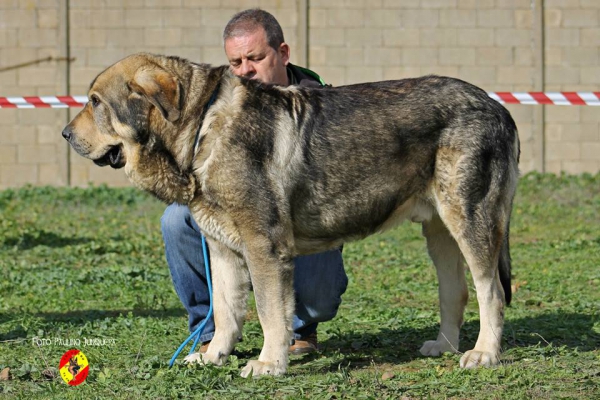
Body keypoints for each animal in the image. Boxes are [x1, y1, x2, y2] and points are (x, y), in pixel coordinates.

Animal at [63, 53, 516, 378]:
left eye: (96, 103)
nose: (65, 134)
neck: (201, 128)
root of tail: (497, 106)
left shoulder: (264, 247)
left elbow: (268, 311)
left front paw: (269, 363)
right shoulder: (223, 250)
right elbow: (225, 311)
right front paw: (213, 357)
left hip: (471, 220)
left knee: (491, 291)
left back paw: (484, 353)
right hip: (440, 232)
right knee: (456, 291)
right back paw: (446, 345)